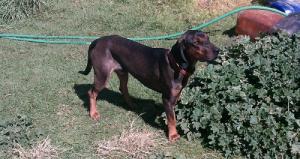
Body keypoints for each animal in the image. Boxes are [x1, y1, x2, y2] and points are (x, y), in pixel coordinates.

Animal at [79, 30, 219, 142]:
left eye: (208, 38)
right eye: (196, 42)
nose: (218, 51)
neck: (177, 64)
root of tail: (97, 40)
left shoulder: (176, 95)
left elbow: (173, 115)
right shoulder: (167, 99)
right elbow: (172, 119)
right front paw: (173, 135)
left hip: (123, 72)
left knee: (123, 88)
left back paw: (132, 105)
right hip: (102, 75)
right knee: (92, 92)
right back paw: (93, 113)